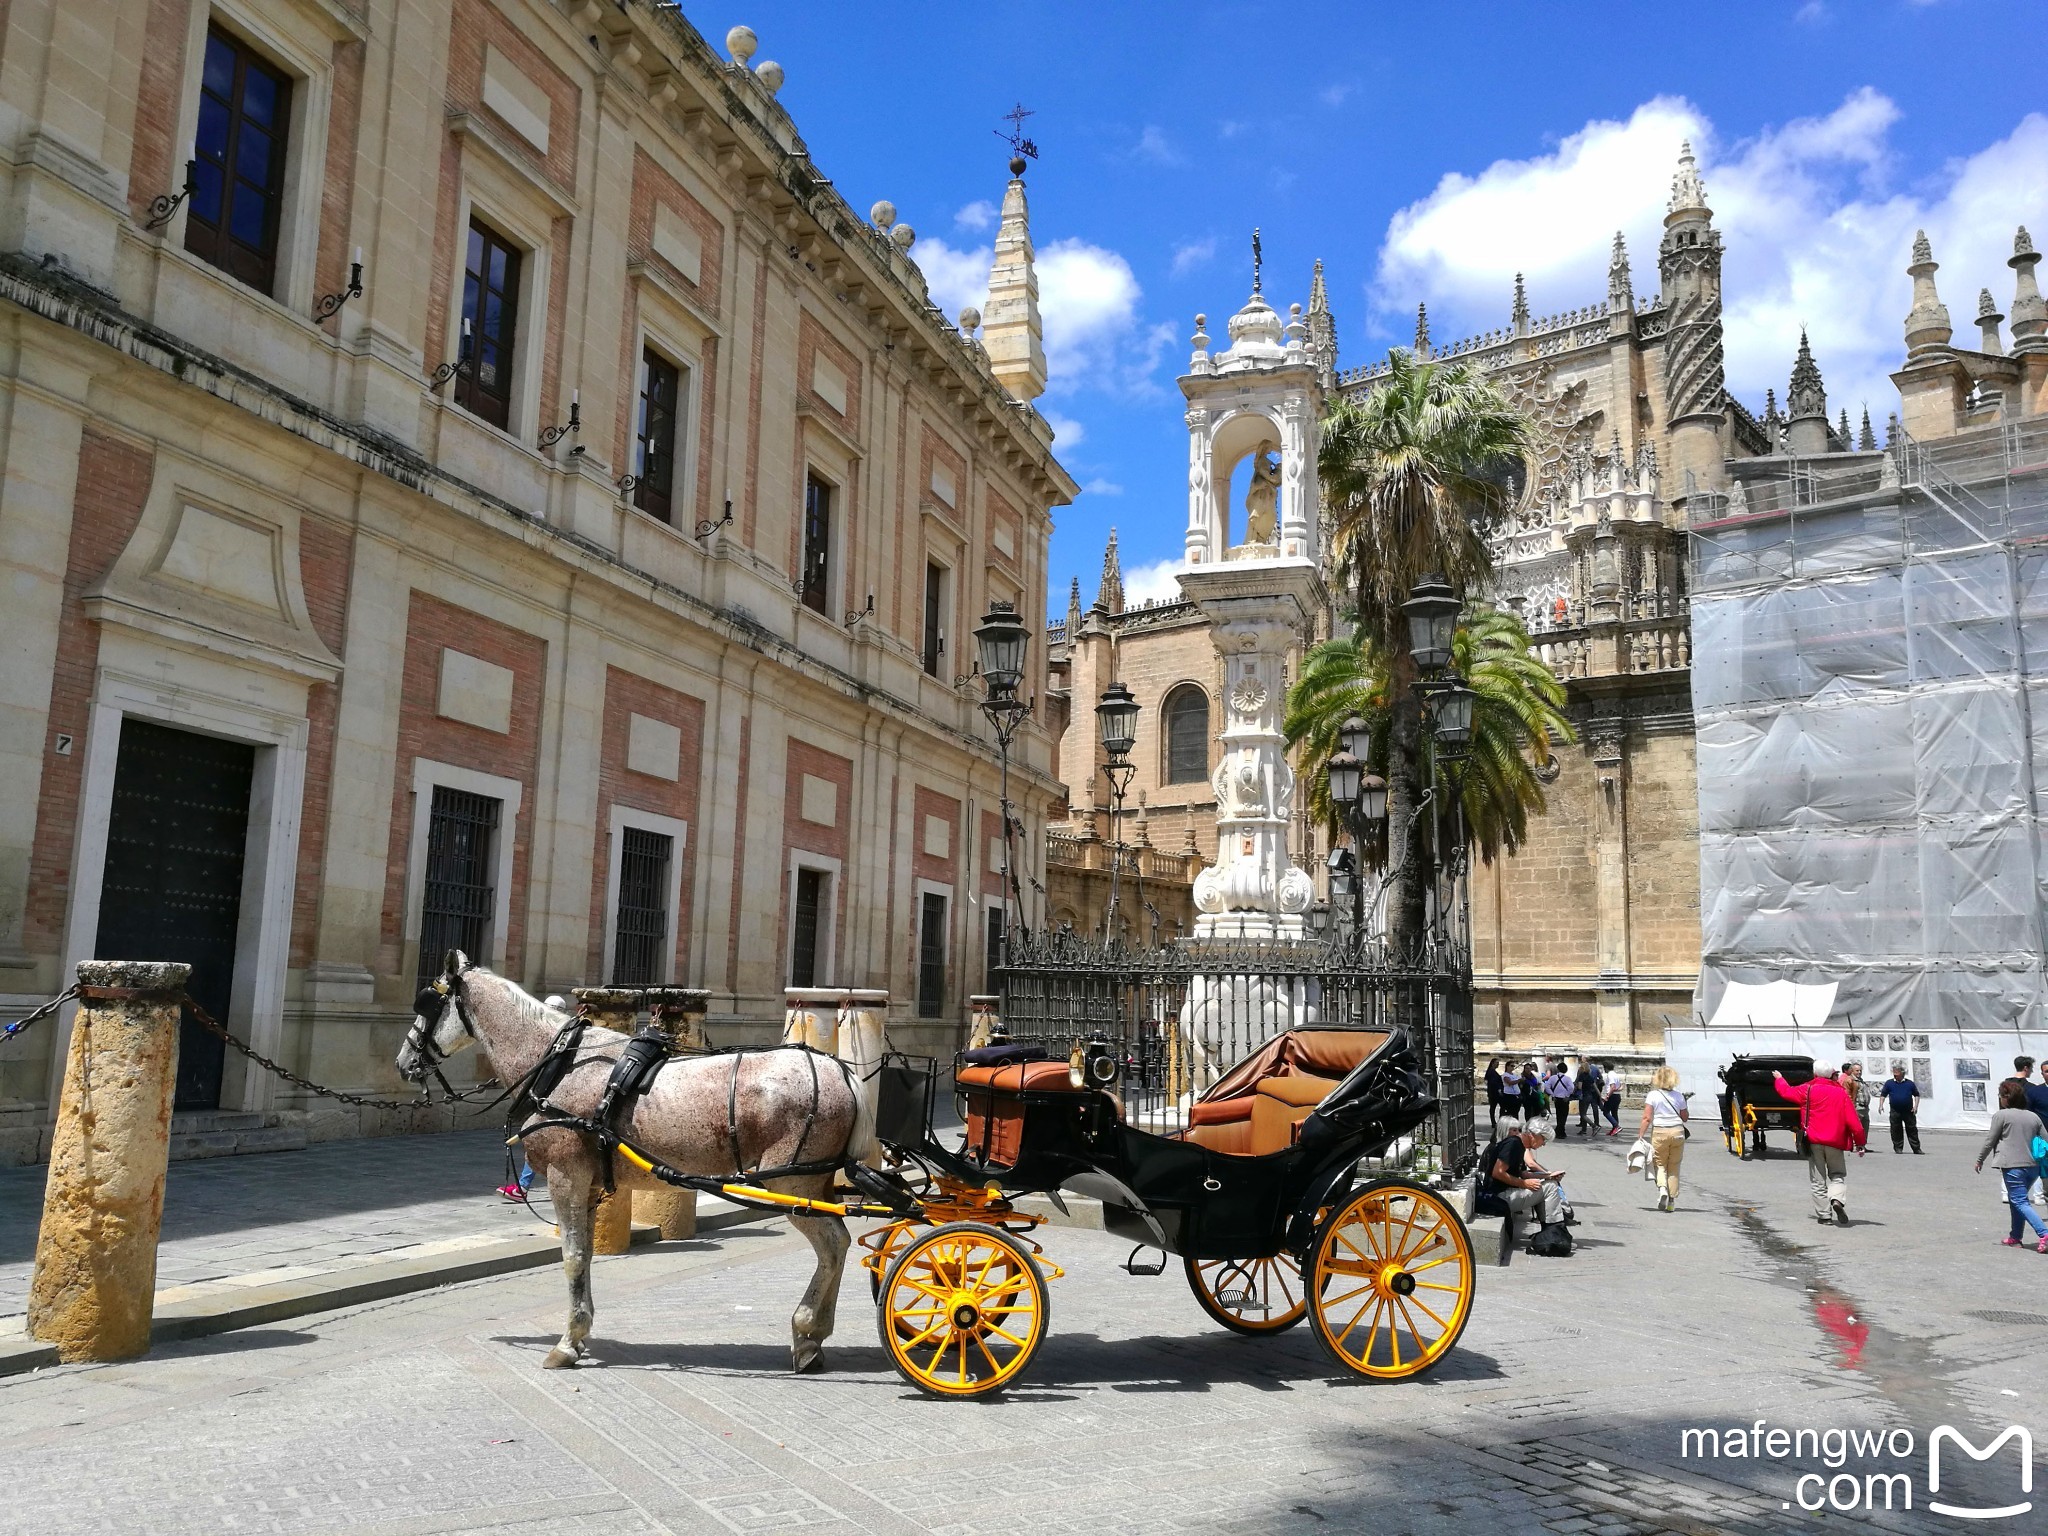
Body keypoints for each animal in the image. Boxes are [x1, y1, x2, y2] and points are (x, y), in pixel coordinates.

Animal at [399, 958, 872, 1376]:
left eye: (426, 1002)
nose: (404, 1061)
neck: (559, 1064)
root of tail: (842, 1073)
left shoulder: (566, 1177)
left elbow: (572, 1256)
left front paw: (567, 1343)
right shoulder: (589, 1184)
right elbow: (587, 1254)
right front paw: (581, 1333)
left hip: (793, 1184)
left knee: (833, 1245)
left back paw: (806, 1332)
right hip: (816, 1185)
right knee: (840, 1240)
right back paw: (815, 1335)